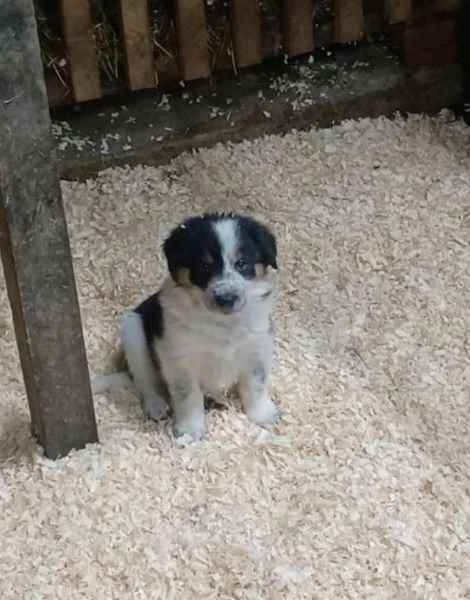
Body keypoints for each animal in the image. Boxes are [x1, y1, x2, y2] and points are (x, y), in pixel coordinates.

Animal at [92, 212, 280, 440]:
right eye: (205, 266)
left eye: (242, 263)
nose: (226, 298)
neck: (222, 323)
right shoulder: (179, 360)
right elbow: (188, 396)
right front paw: (189, 430)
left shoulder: (257, 347)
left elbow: (256, 385)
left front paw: (262, 414)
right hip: (133, 333)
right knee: (145, 383)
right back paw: (156, 406)